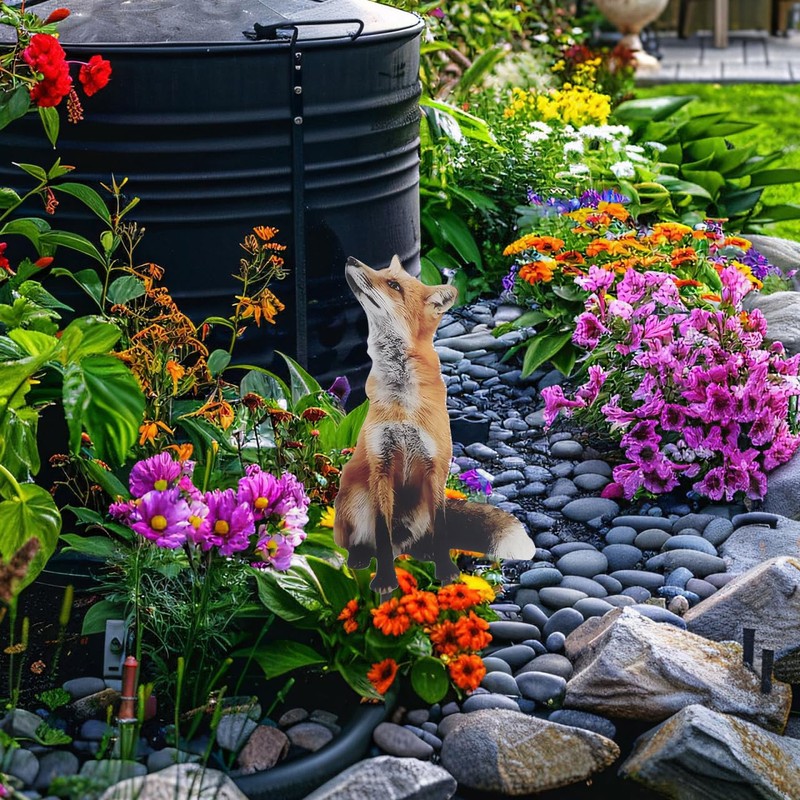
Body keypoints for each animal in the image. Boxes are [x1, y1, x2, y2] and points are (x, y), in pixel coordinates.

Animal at [334, 255, 535, 593]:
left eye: (393, 284)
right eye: (383, 273)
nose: (351, 259)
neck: (403, 406)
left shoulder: (435, 468)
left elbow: (441, 531)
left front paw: (448, 574)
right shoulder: (381, 466)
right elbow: (382, 534)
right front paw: (385, 580)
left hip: (421, 507)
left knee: (422, 539)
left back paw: (425, 553)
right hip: (356, 496)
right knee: (370, 543)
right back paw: (360, 558)